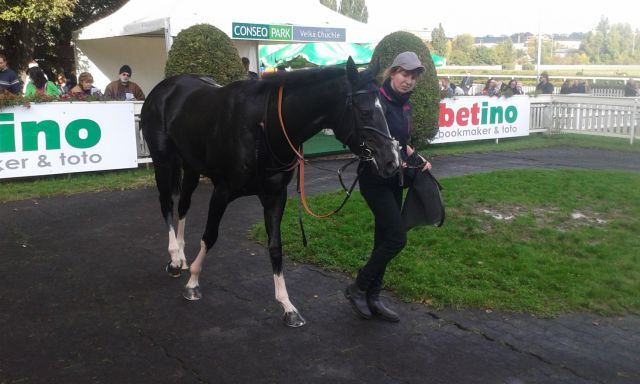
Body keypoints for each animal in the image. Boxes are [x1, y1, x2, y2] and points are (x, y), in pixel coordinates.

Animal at [141, 57, 400, 328]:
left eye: (384, 109)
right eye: (365, 111)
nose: (392, 161)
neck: (263, 126)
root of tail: (165, 87)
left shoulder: (275, 196)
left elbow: (275, 247)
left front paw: (287, 306)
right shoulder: (222, 191)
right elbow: (210, 235)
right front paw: (193, 282)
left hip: (190, 166)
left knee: (183, 205)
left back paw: (181, 255)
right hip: (164, 162)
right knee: (167, 203)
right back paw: (174, 259)